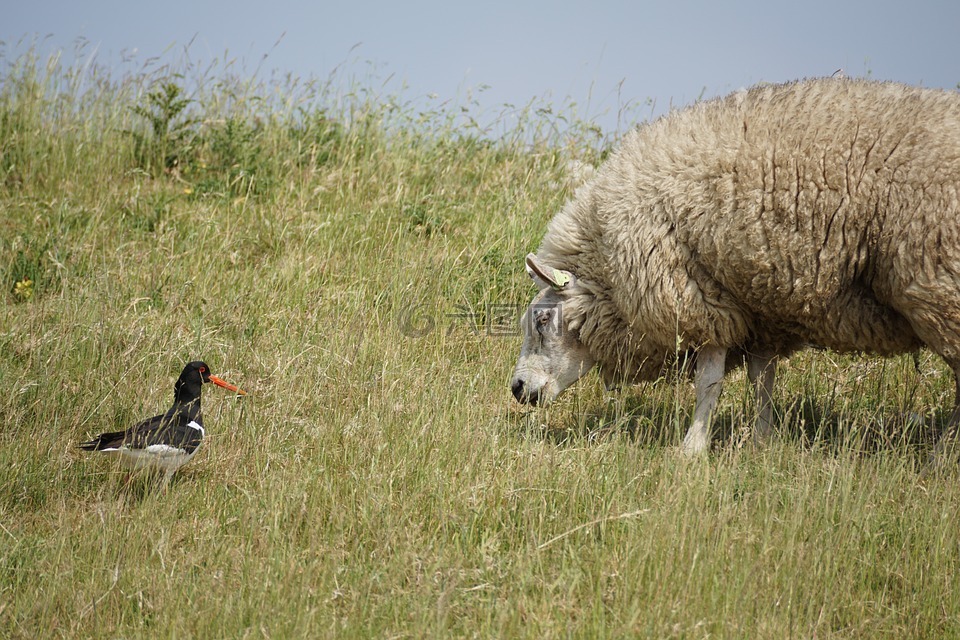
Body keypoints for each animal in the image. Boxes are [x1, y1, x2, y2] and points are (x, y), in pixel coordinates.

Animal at [512, 77, 960, 456]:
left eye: (541, 321)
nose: (516, 388)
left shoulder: (700, 299)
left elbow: (708, 383)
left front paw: (692, 450)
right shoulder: (760, 309)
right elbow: (763, 381)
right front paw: (760, 441)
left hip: (939, 288)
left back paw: (941, 457)